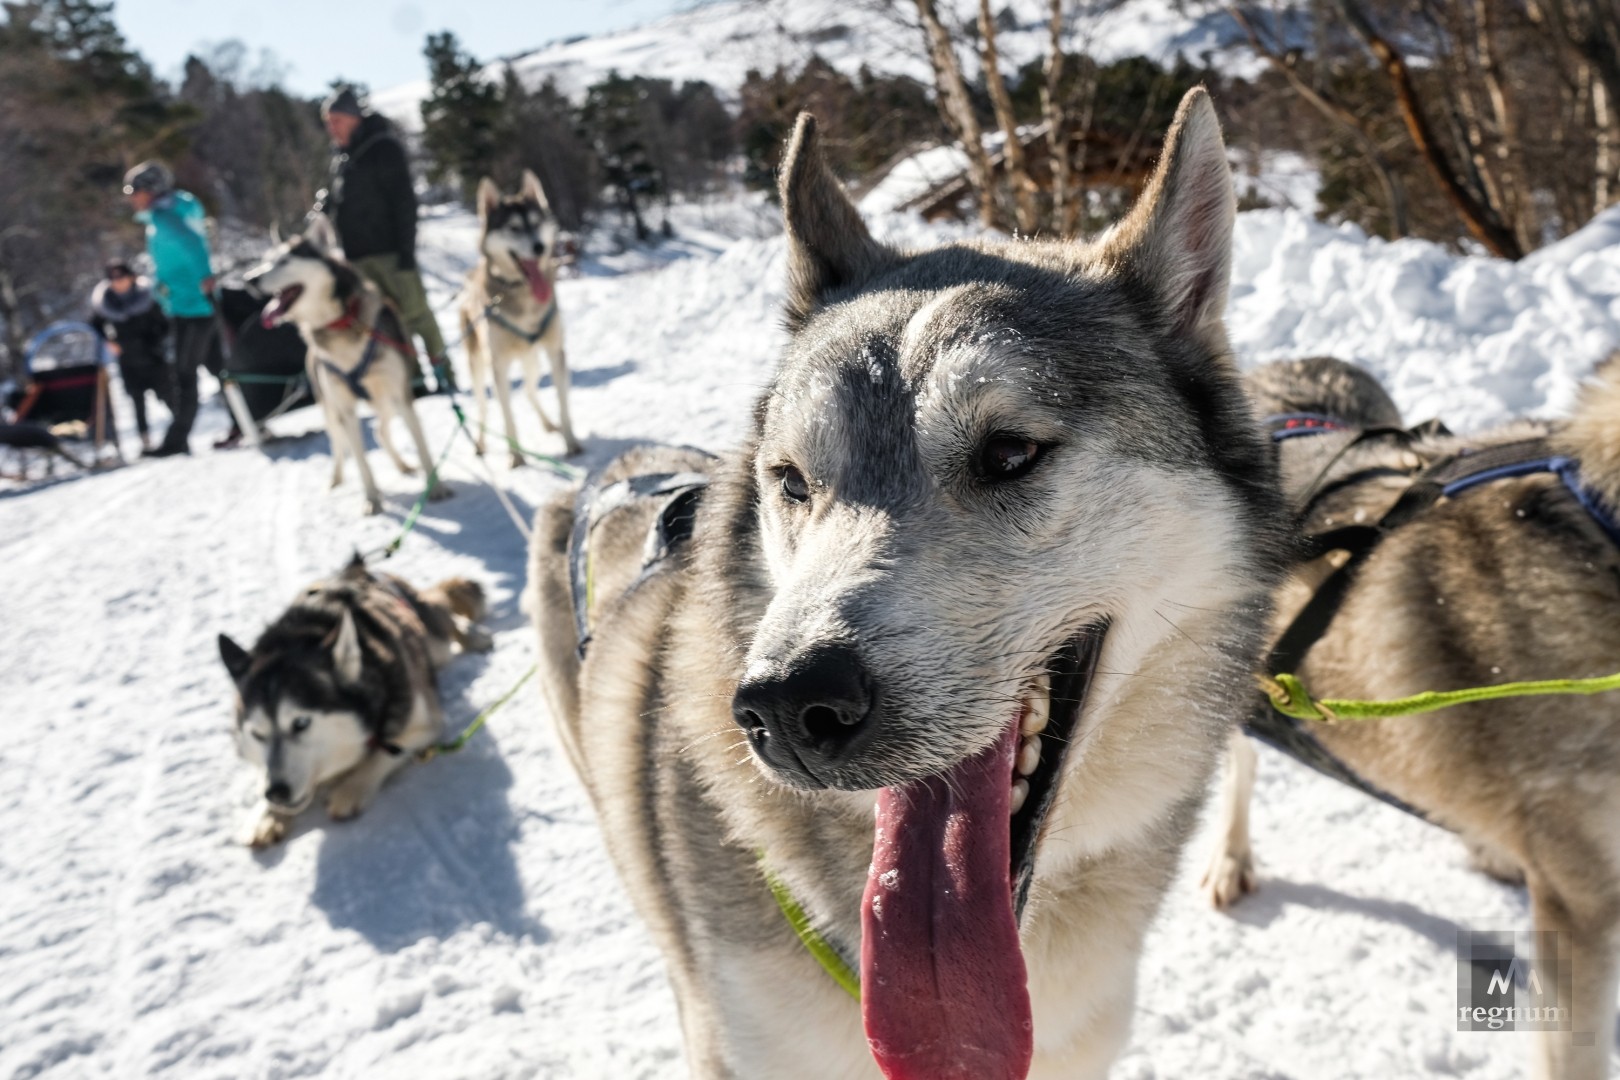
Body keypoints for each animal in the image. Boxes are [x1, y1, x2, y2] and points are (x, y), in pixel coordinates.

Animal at [218, 563, 489, 848]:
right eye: (257, 734)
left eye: (301, 723)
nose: (277, 793)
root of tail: (357, 568)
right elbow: (262, 773)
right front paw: (266, 814)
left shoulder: (424, 724)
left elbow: (386, 751)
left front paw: (351, 788)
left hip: (434, 647)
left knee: (444, 612)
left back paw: (474, 635)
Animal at [239, 216, 447, 518]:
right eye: (267, 260)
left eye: (285, 260)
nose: (249, 279)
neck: (342, 323)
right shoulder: (345, 409)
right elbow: (361, 461)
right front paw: (371, 499)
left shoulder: (401, 396)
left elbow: (422, 447)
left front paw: (436, 487)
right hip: (331, 409)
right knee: (339, 443)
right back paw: (336, 478)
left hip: (387, 402)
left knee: (379, 431)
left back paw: (403, 466)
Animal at [460, 170, 579, 466]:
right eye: (513, 228)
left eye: (536, 223)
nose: (539, 247)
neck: (523, 295)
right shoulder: (498, 365)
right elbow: (507, 417)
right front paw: (516, 456)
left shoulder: (555, 351)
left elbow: (562, 403)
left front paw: (571, 441)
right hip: (478, 367)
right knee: (483, 407)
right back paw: (480, 442)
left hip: (532, 360)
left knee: (529, 389)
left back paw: (549, 425)